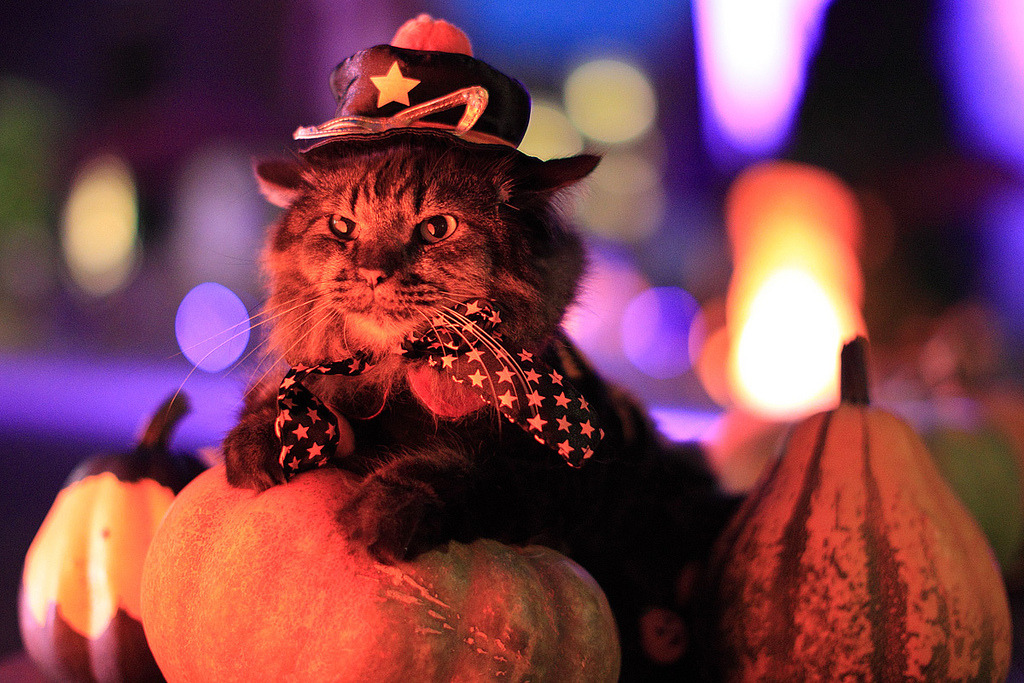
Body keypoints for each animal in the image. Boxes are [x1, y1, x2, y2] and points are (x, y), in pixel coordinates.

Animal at [223, 131, 737, 679]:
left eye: (437, 228)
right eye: (342, 226)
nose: (371, 273)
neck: (399, 379)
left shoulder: (551, 478)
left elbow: (458, 469)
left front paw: (380, 512)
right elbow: (302, 406)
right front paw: (263, 441)